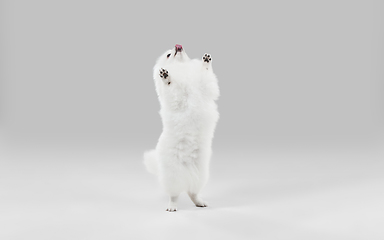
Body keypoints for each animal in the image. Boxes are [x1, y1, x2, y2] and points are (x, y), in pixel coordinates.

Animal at [144, 44, 220, 212]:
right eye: (168, 55)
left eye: (179, 49)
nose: (178, 46)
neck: (182, 68)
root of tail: (187, 174)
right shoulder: (176, 96)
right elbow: (171, 87)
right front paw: (165, 76)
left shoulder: (204, 85)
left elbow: (205, 74)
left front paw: (206, 60)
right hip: (173, 176)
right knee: (175, 194)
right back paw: (172, 207)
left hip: (201, 174)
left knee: (192, 192)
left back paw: (200, 202)